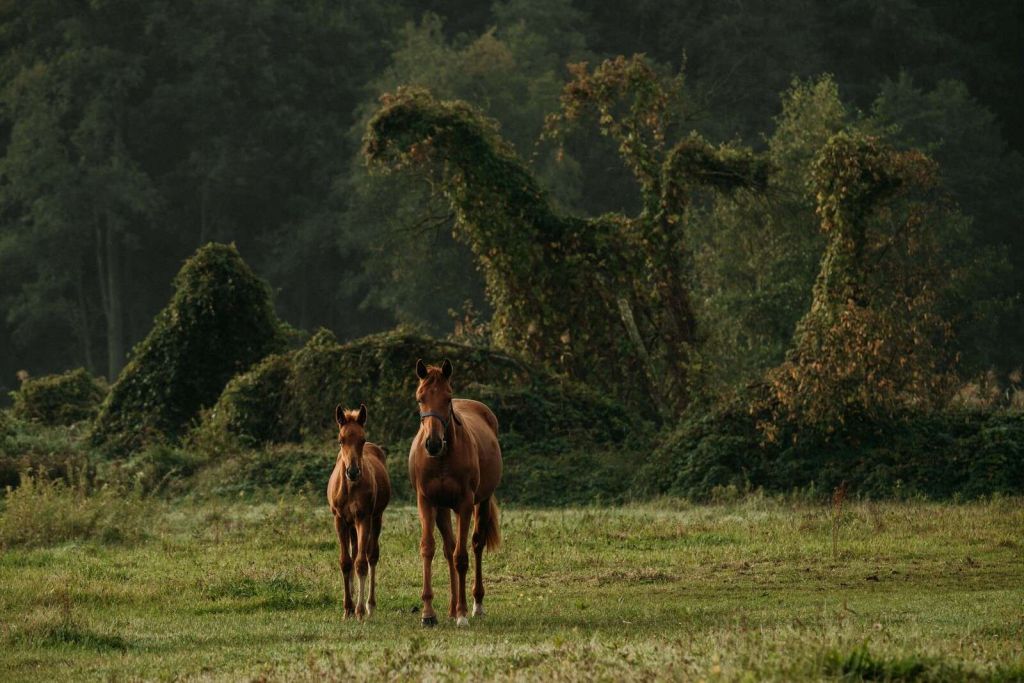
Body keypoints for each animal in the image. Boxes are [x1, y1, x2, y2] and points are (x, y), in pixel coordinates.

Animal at [327, 403, 391, 622]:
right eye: (340, 440)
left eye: (361, 440)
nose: (353, 472)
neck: (351, 487)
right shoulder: (339, 520)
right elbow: (346, 562)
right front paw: (347, 608)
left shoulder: (364, 518)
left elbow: (361, 563)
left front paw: (360, 610)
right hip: (351, 524)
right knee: (354, 553)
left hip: (375, 518)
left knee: (371, 556)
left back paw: (370, 605)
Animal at [409, 360, 501, 626]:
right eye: (420, 398)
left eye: (447, 398)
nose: (432, 443)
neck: (442, 459)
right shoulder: (426, 502)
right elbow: (429, 549)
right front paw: (428, 613)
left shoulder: (465, 504)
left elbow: (462, 556)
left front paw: (462, 614)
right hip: (442, 509)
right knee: (449, 549)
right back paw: (451, 608)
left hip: (481, 502)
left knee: (475, 545)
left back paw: (474, 605)